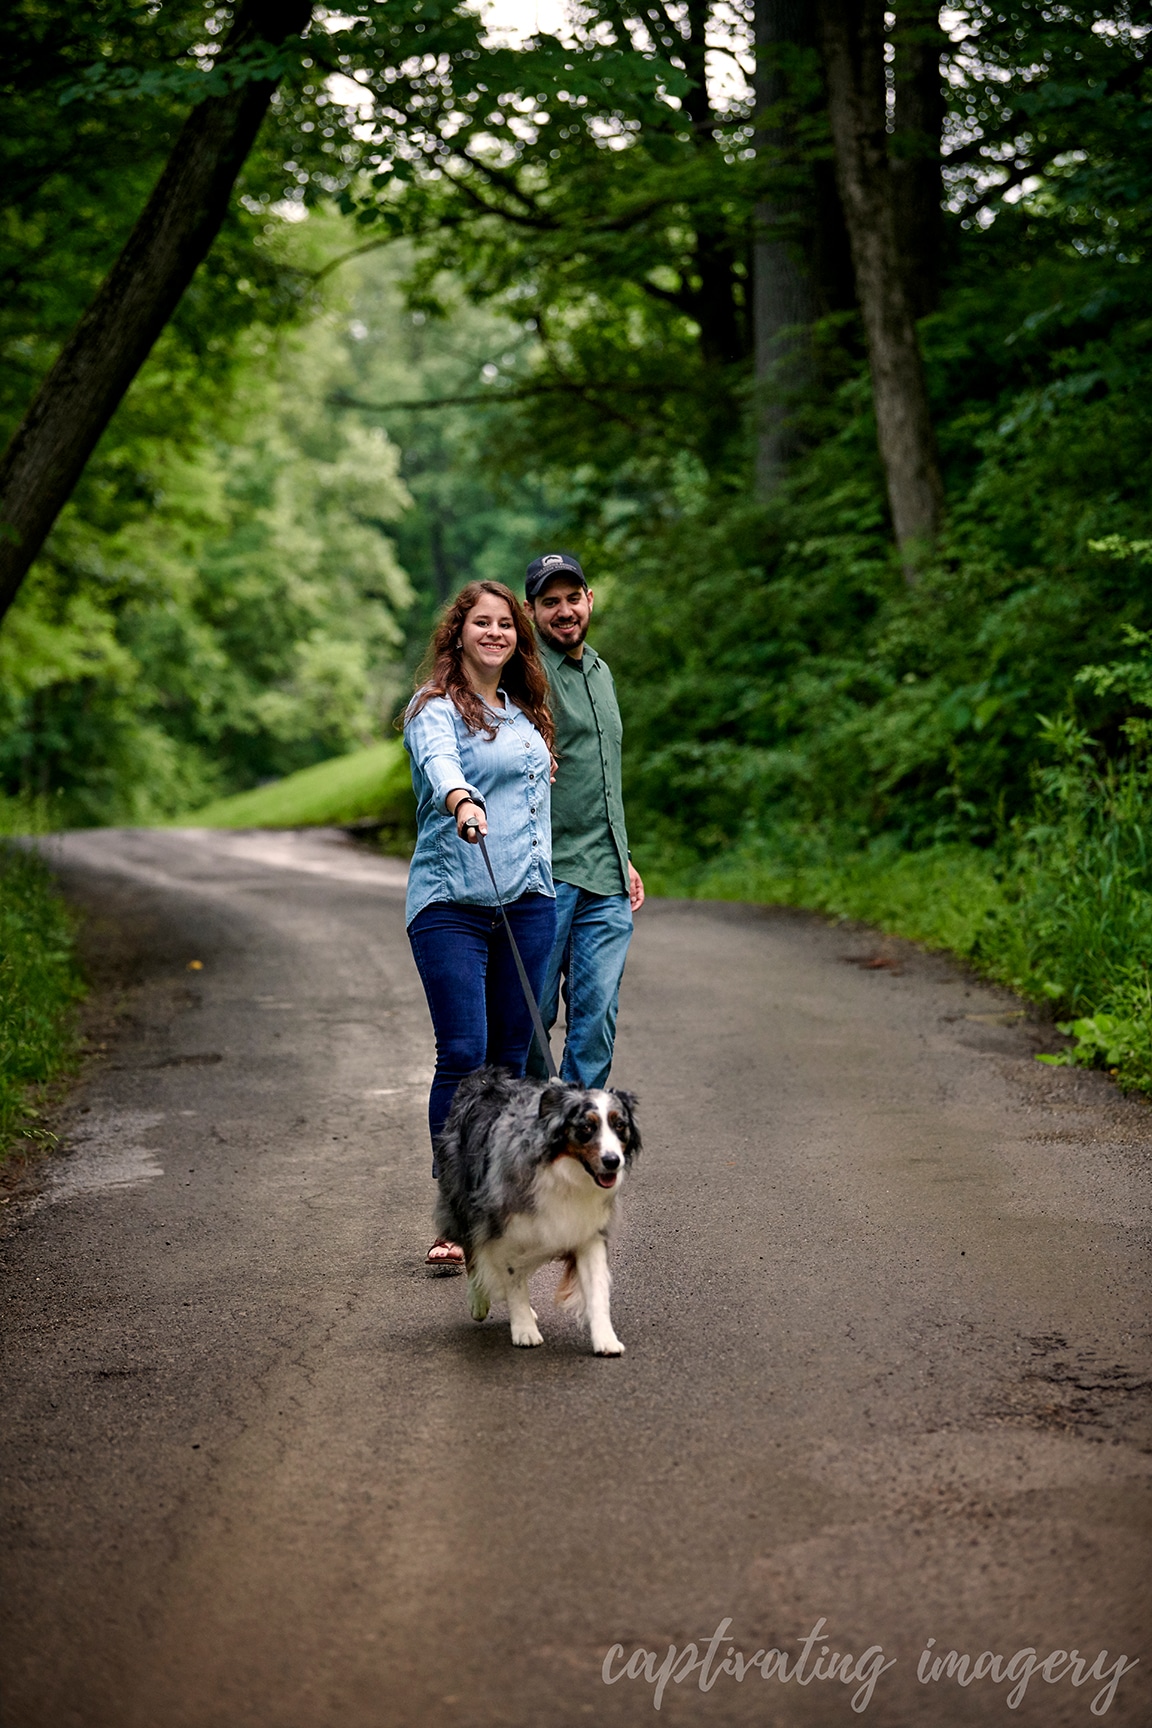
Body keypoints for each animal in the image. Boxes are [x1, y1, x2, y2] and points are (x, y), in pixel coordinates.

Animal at [436, 1064, 645, 1347]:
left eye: (619, 1125)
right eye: (587, 1127)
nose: (612, 1161)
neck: (565, 1174)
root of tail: (486, 1077)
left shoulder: (588, 1229)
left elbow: (598, 1288)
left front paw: (606, 1340)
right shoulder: (506, 1231)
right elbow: (513, 1281)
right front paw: (524, 1330)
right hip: (464, 1201)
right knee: (472, 1251)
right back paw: (478, 1300)